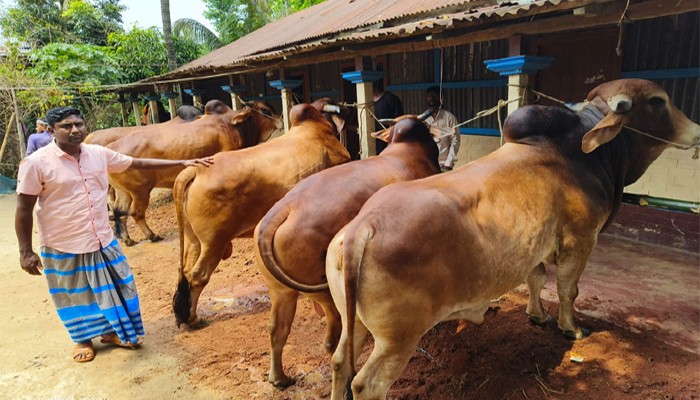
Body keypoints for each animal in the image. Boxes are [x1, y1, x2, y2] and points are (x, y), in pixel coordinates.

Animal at [106, 100, 282, 245]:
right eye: (265, 110)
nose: (281, 122)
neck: (232, 125)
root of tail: (111, 150)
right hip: (140, 191)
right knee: (135, 212)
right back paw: (152, 236)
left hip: (124, 191)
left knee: (119, 211)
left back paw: (127, 239)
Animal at [173, 100, 352, 328]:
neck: (319, 130)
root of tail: (197, 169)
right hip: (213, 243)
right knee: (198, 275)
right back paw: (194, 318)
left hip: (194, 239)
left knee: (186, 271)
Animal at [254, 115, 440, 388]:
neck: (408, 149)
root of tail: (283, 208)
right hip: (324, 290)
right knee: (333, 330)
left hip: (281, 291)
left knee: (277, 329)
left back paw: (279, 377)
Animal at [326, 79, 700, 400]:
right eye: (657, 101)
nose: (696, 130)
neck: (587, 155)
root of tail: (363, 227)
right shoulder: (582, 240)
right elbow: (568, 289)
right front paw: (571, 328)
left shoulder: (535, 246)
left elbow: (537, 280)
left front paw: (537, 315)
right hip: (397, 341)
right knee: (366, 385)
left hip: (354, 322)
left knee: (340, 362)